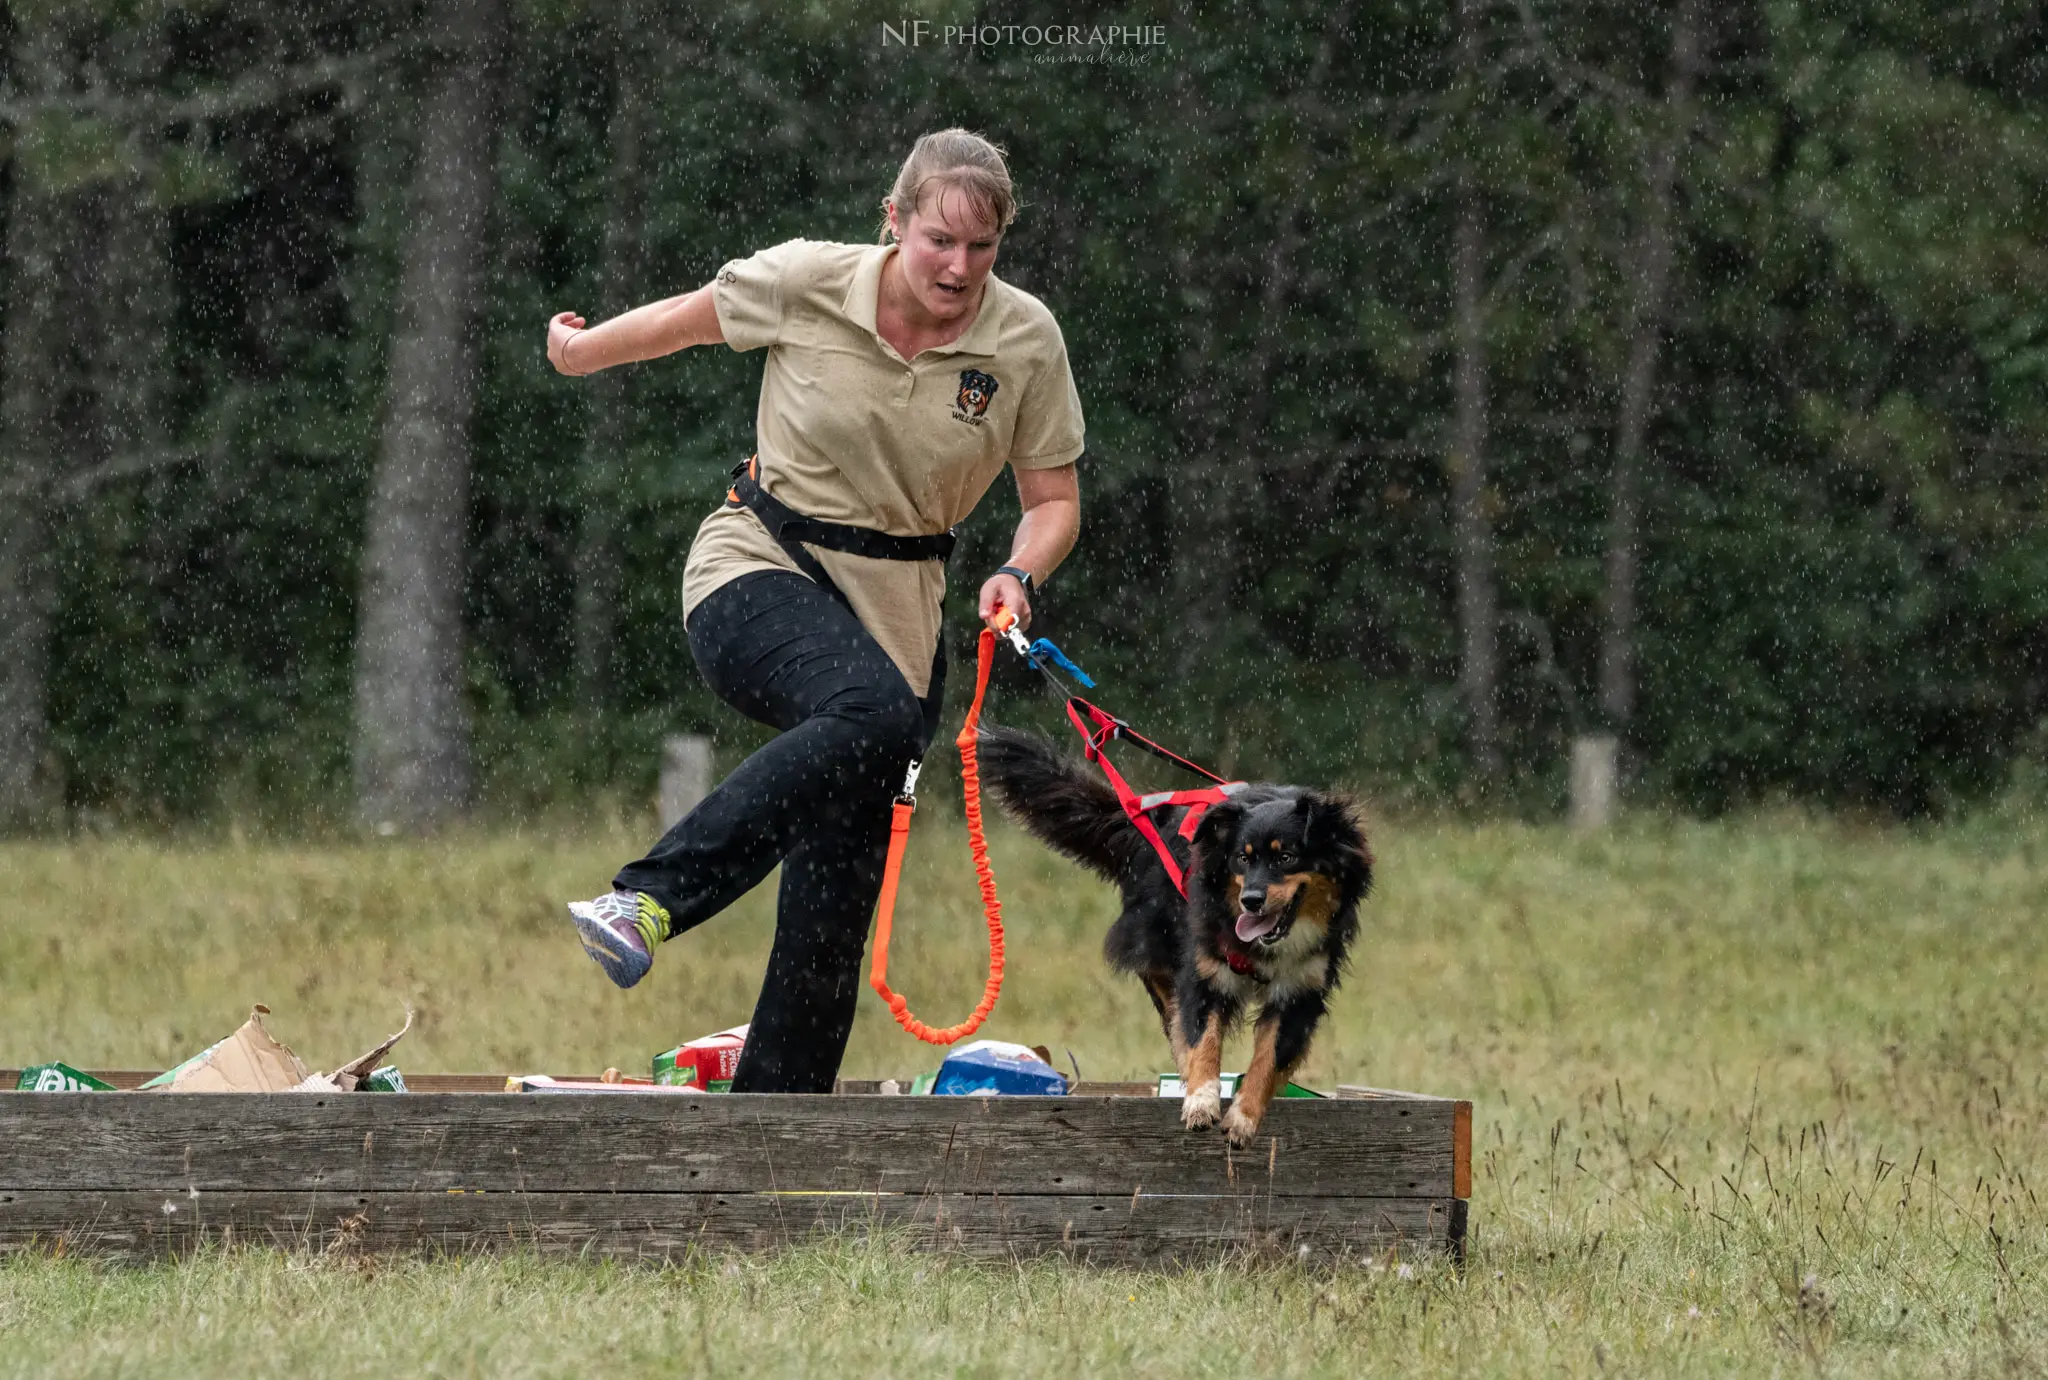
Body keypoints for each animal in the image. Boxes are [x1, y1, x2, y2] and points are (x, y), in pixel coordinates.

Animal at [978, 724, 1376, 1146]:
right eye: (1242, 858)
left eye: (1287, 857)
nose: (1251, 901)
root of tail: (1147, 818)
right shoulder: (1204, 969)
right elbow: (1202, 1038)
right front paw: (1201, 1100)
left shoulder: (1300, 990)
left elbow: (1269, 1059)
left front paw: (1243, 1118)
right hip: (1157, 937)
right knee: (1170, 1006)